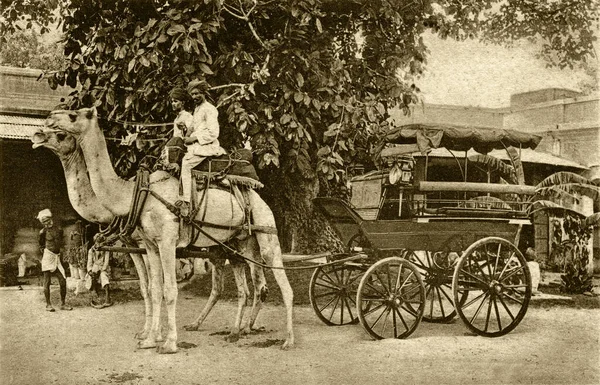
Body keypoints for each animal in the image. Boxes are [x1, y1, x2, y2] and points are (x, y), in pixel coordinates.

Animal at [42, 106, 296, 352]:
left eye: (72, 117)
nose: (46, 122)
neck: (133, 195)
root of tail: (256, 195)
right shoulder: (148, 245)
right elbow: (153, 289)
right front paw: (148, 338)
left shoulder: (165, 241)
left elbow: (169, 290)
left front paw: (168, 342)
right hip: (235, 244)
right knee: (249, 286)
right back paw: (237, 330)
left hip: (266, 232)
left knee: (281, 284)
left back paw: (286, 340)